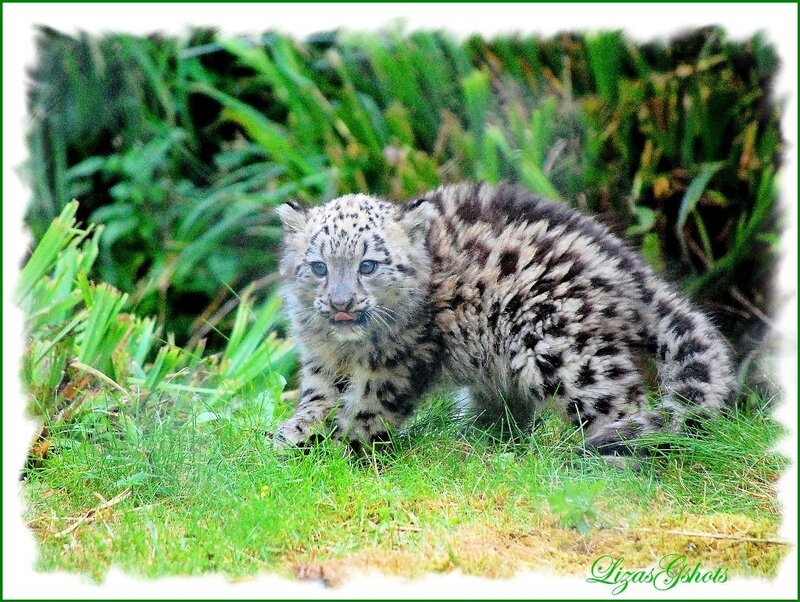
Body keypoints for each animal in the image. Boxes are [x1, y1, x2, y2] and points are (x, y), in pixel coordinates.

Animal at [273, 182, 736, 458]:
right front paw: (296, 436)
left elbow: (369, 406)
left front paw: (342, 445)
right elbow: (318, 399)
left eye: (367, 265)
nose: (341, 303)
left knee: (621, 403)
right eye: (319, 267)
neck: (348, 349)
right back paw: (479, 441)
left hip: (560, 346)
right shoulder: (320, 362)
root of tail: (630, 267)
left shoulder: (398, 361)